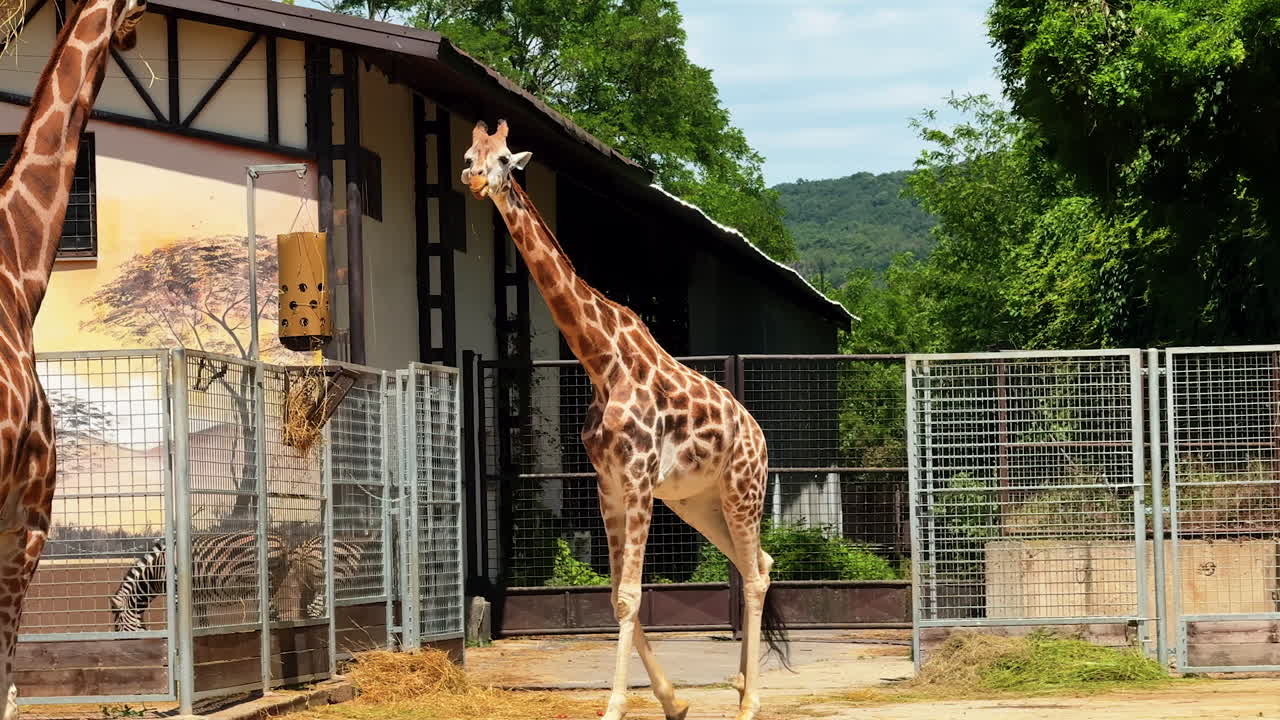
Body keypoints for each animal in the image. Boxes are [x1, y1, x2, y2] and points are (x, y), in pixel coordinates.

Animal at [463, 120, 788, 720]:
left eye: (506, 161)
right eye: (472, 155)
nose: (475, 182)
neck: (600, 362)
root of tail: (756, 433)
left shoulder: (636, 480)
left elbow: (631, 596)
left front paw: (616, 706)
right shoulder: (609, 484)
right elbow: (616, 594)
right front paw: (674, 702)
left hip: (742, 490)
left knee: (754, 575)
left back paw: (752, 701)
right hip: (697, 502)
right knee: (758, 561)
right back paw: (738, 686)